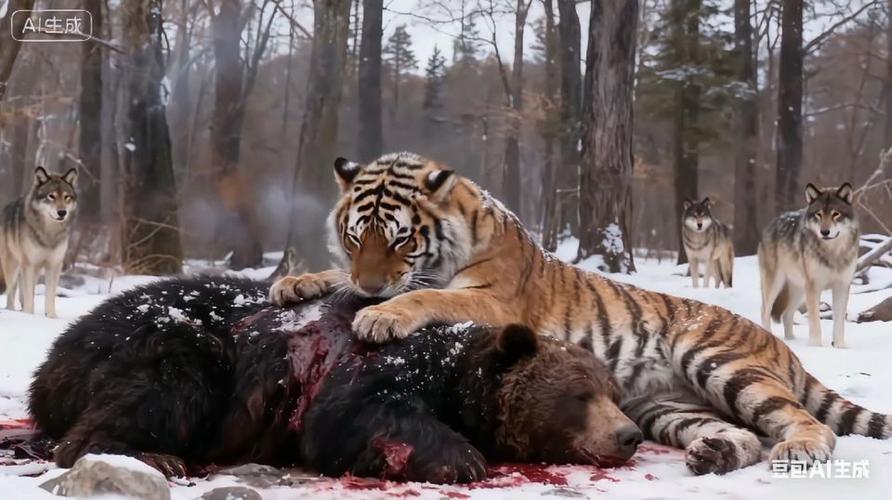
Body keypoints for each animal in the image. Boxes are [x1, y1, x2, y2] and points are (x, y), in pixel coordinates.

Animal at [270, 152, 892, 475]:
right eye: (356, 239)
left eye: (400, 239)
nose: (371, 285)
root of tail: (779, 346)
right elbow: (344, 281)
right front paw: (295, 283)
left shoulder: (490, 297)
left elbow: (432, 295)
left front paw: (381, 316)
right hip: (667, 406)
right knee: (744, 437)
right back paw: (715, 453)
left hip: (717, 360)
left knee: (802, 423)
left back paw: (800, 448)